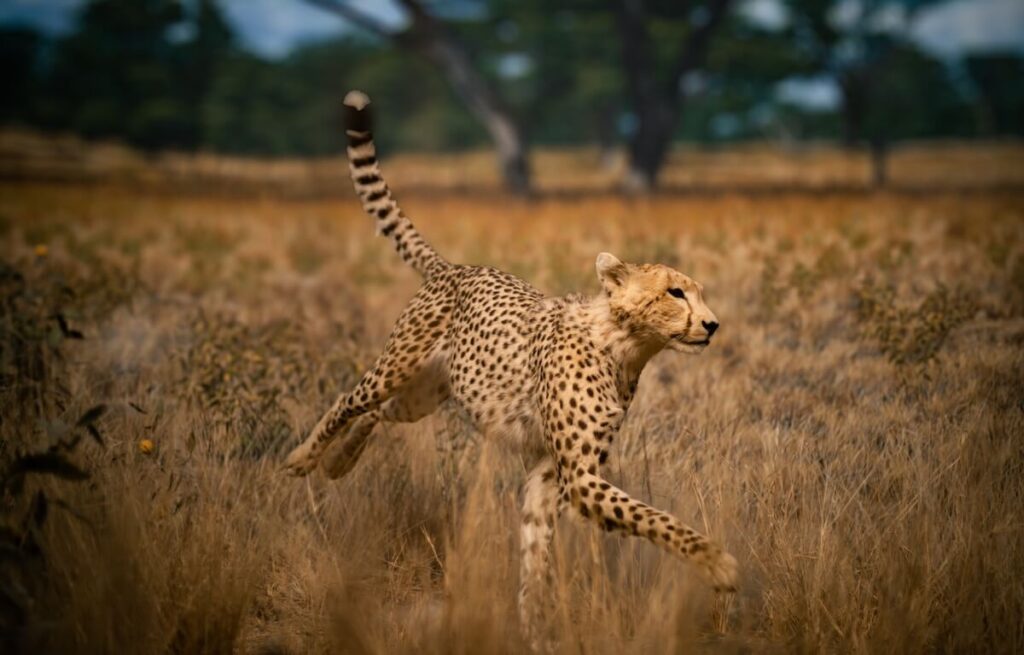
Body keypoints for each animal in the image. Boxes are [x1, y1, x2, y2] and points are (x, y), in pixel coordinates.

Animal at [284, 90, 739, 647]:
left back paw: (339, 463)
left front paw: (535, 628)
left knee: (379, 414)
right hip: (396, 366)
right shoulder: (579, 476)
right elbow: (653, 519)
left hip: (424, 394)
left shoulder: (549, 474)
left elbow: (535, 553)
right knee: (349, 400)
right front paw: (716, 563)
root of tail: (457, 267)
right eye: (676, 292)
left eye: (697, 293)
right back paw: (305, 457)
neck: (626, 348)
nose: (712, 325)